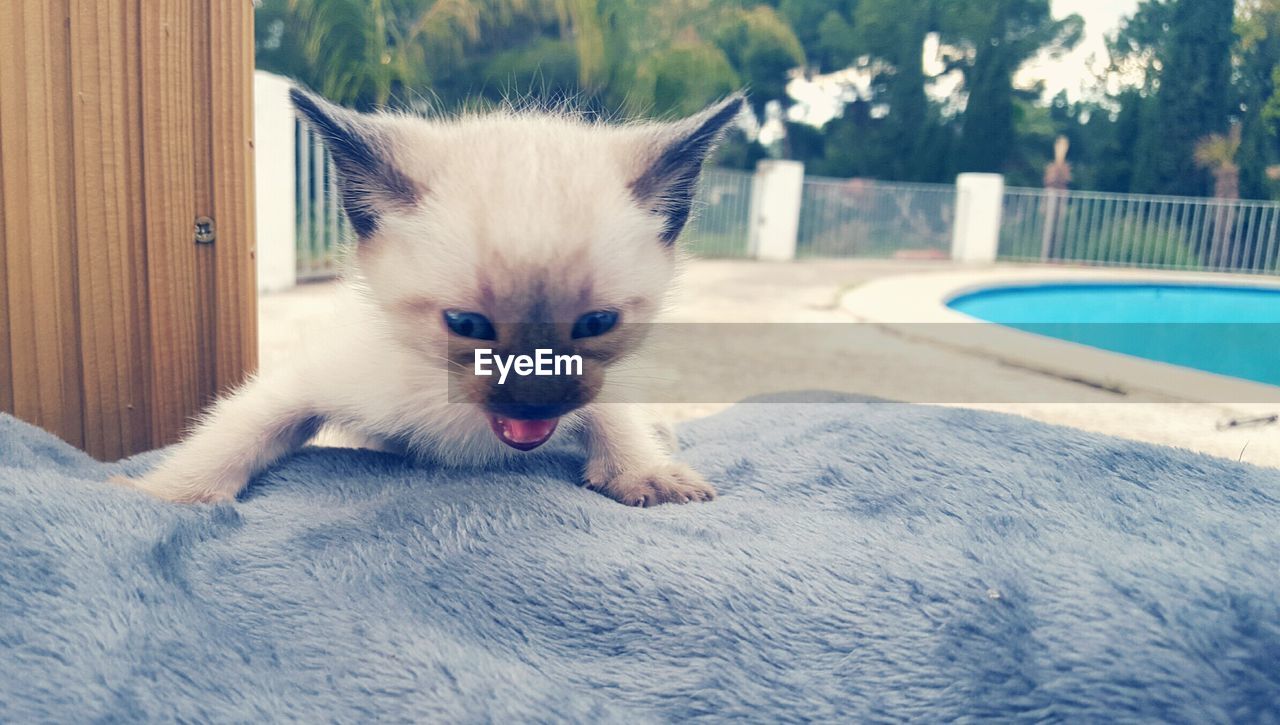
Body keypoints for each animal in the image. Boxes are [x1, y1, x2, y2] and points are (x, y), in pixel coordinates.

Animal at [120, 88, 747, 509]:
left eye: (597, 323)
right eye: (466, 325)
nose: (534, 407)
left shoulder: (602, 382)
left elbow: (612, 412)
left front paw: (644, 472)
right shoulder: (314, 379)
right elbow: (239, 430)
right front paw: (163, 495)